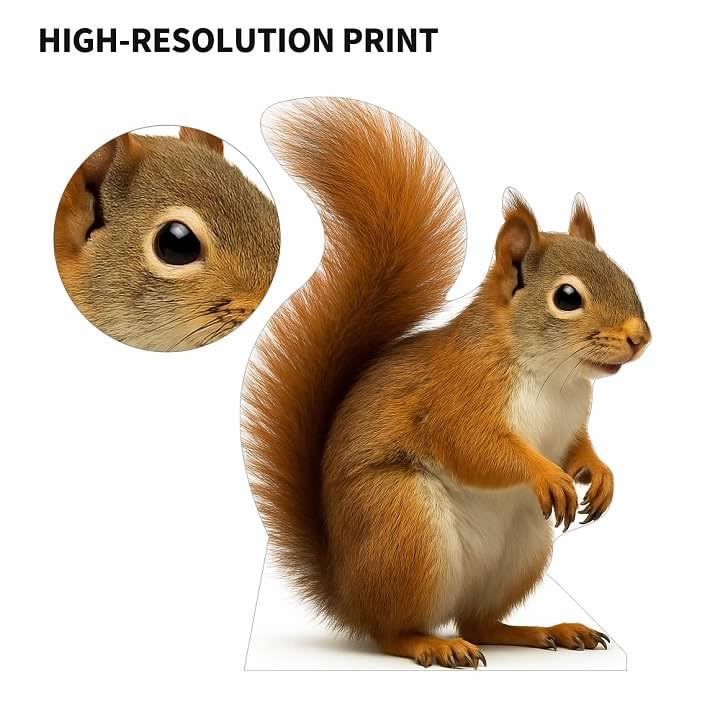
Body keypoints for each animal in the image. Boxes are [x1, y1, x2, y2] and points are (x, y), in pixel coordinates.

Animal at [242, 98, 650, 668]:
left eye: (626, 275)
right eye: (567, 297)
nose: (640, 338)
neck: (554, 375)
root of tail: (346, 592)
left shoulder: (571, 421)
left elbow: (578, 448)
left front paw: (600, 472)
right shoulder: (457, 394)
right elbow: (473, 446)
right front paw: (546, 474)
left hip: (521, 549)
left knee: (480, 621)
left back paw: (545, 630)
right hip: (404, 524)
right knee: (392, 630)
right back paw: (432, 644)